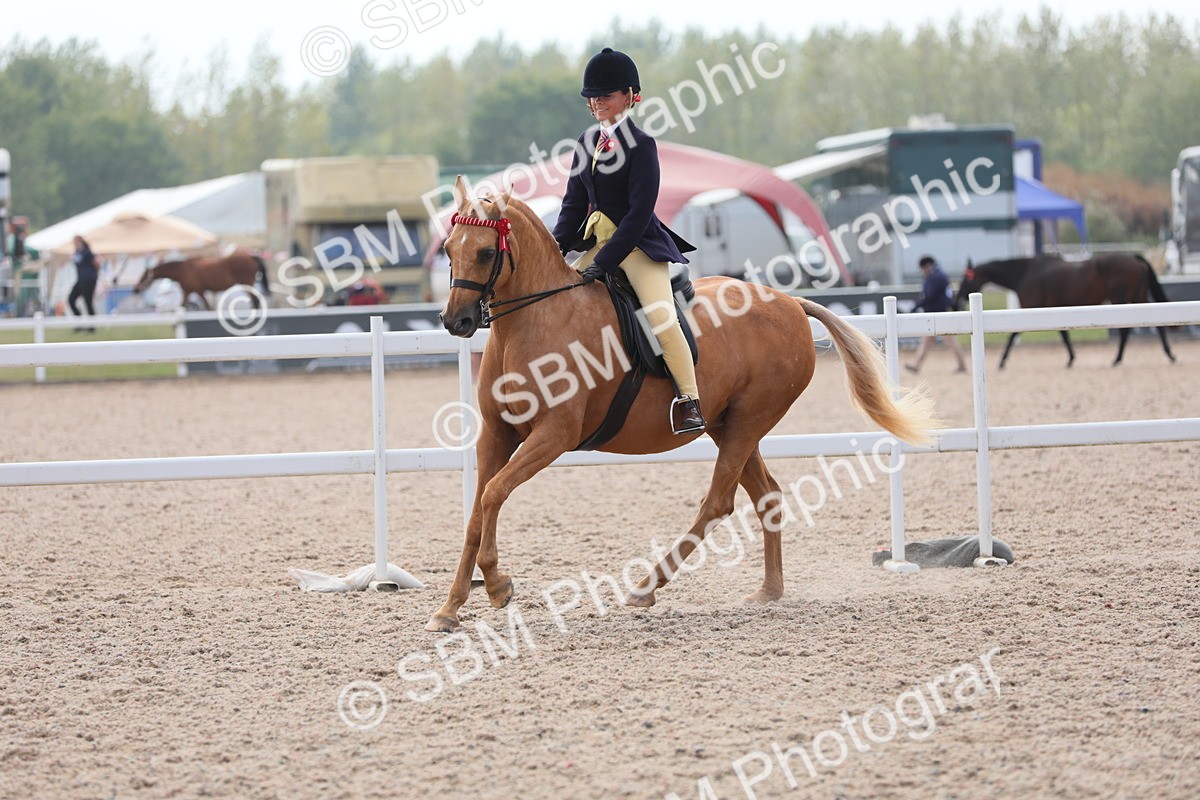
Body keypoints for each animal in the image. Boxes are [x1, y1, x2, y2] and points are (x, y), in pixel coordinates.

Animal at [134, 252, 269, 310]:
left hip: (247, 284)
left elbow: (208, 307)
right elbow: (182, 306)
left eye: (143, 276)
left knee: (255, 300)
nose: (135, 289)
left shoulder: (199, 291)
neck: (183, 270)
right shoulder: (187, 291)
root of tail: (251, 256)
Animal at [425, 176, 939, 633]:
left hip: (747, 422)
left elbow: (493, 495)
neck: (537, 321)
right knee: (766, 495)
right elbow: (477, 512)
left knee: (718, 502)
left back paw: (646, 587)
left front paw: (498, 586)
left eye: (486, 252)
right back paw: (768, 592)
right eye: (449, 249)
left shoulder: (554, 436)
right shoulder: (496, 434)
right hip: (729, 425)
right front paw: (449, 609)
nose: (456, 321)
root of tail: (789, 301)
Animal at [954, 254, 1177, 368]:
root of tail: (1135, 258)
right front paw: (1071, 358)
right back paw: (1167, 354)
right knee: (1155, 325)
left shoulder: (1030, 308)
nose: (956, 302)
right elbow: (1064, 335)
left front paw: (1002, 360)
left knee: (1127, 330)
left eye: (965, 279)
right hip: (1138, 299)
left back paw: (1118, 359)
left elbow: (1013, 334)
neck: (1024, 273)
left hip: (1122, 300)